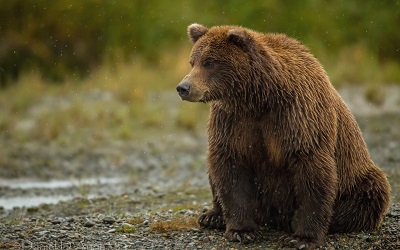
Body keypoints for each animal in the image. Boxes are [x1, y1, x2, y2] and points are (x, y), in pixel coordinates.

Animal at [175, 23, 390, 248]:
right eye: (192, 61)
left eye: (209, 62)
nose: (183, 87)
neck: (259, 99)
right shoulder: (232, 122)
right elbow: (230, 168)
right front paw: (241, 231)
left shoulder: (298, 118)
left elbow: (312, 172)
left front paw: (303, 237)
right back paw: (212, 216)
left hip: (358, 179)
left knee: (369, 195)